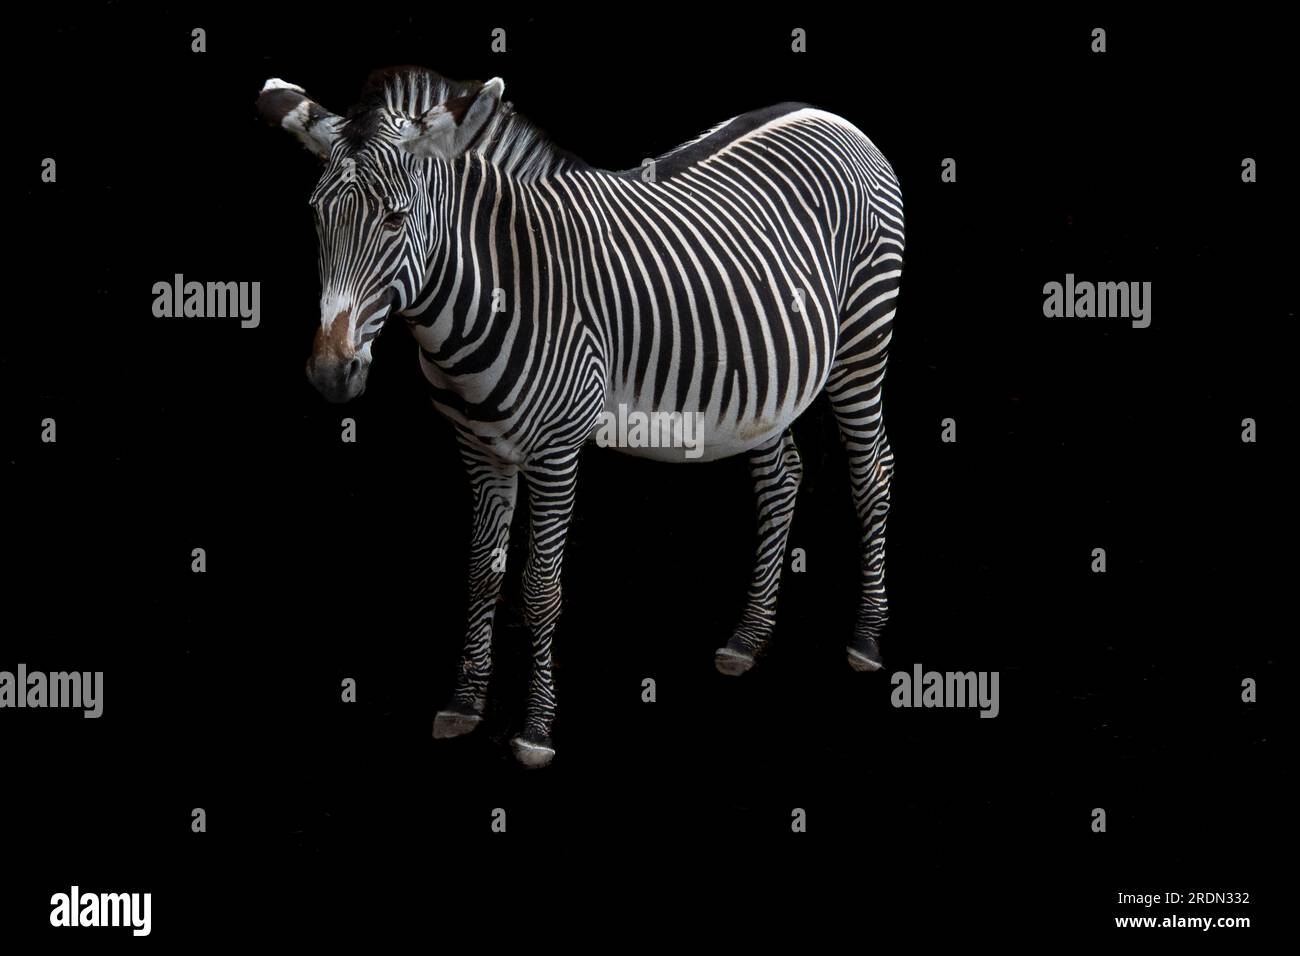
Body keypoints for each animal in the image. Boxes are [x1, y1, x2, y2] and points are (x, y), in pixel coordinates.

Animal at [257, 67, 903, 768]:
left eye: (397, 219)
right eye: (316, 217)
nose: (330, 375)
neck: (496, 293)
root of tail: (828, 114)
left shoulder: (556, 451)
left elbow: (539, 589)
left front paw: (536, 729)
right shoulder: (478, 448)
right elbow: (481, 575)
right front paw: (465, 704)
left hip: (863, 339)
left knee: (873, 475)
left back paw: (867, 638)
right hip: (768, 383)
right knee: (781, 481)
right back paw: (748, 638)